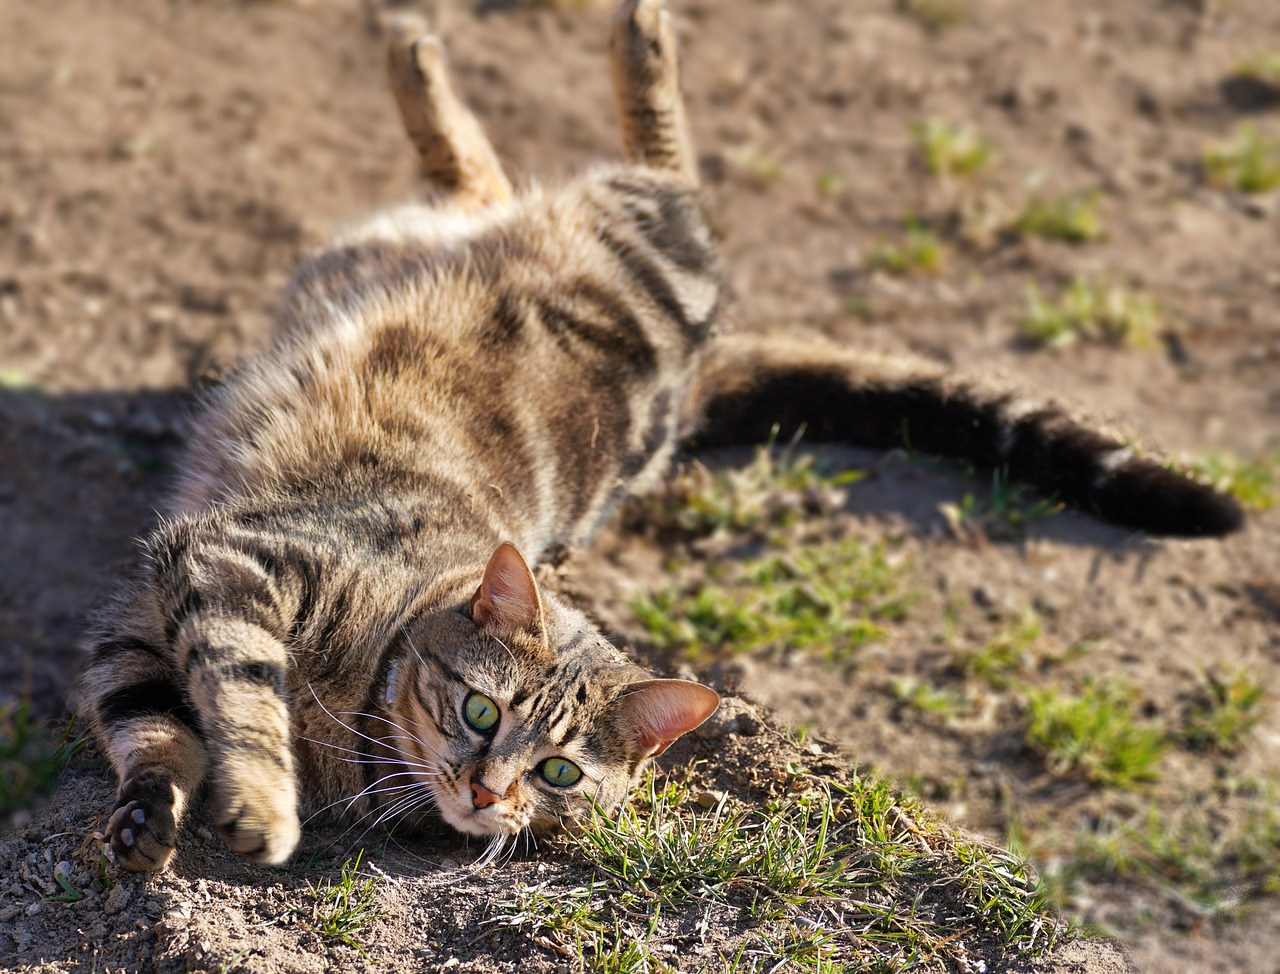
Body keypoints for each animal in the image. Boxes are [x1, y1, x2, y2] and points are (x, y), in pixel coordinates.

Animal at [72, 0, 1239, 875]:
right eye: (481, 710)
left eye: (559, 775)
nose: (484, 788)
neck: (355, 719)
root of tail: (691, 375)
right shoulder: (212, 567)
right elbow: (203, 707)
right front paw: (239, 805)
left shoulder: (170, 602)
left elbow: (168, 716)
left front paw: (179, 812)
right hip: (628, 227)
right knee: (649, 168)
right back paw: (586, 37)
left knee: (510, 178)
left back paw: (458, 55)